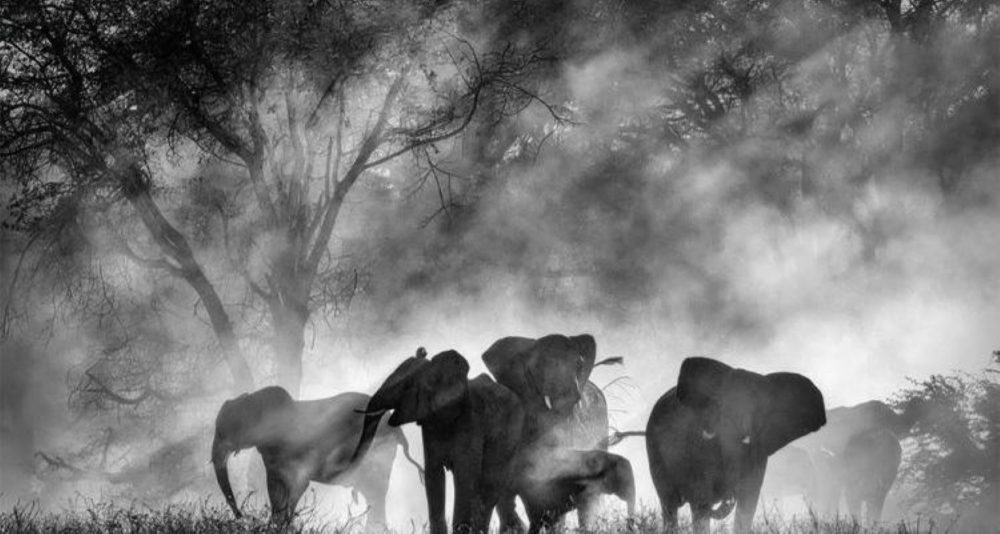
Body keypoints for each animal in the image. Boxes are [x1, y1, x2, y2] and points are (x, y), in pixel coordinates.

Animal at [211, 385, 424, 529]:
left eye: (222, 432)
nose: (243, 516)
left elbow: (290, 486)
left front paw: (282, 525)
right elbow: (279, 488)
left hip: (378, 453)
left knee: (375, 492)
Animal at [351, 348, 525, 534]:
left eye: (406, 386)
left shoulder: (471, 421)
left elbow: (465, 475)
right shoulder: (429, 425)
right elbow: (433, 474)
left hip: (511, 437)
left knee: (490, 485)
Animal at [646, 357, 826, 534]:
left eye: (760, 411)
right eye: (721, 407)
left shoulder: (758, 452)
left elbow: (748, 501)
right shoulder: (696, 446)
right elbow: (701, 500)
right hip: (654, 451)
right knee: (669, 505)